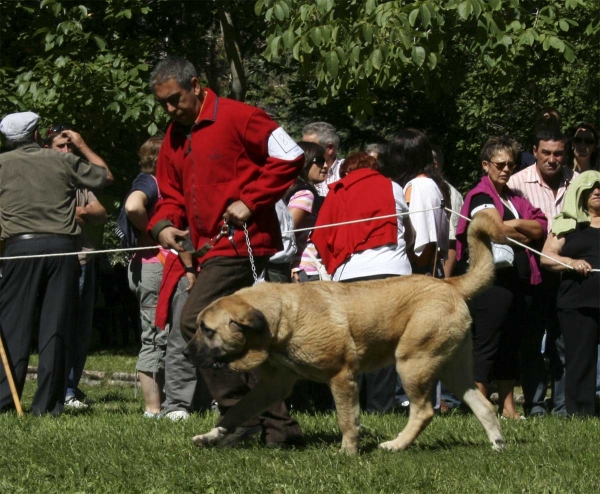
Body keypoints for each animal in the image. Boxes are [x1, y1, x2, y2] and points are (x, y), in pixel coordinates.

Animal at [188, 214, 506, 454]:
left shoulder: (341, 376)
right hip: (452, 368)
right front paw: (210, 436)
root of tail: (450, 284)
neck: (283, 318)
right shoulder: (272, 387)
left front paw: (347, 452)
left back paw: (394, 445)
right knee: (484, 405)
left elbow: (347, 419)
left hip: (412, 363)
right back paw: (497, 445)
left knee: (424, 411)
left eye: (207, 330)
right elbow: (236, 411)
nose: (186, 351)